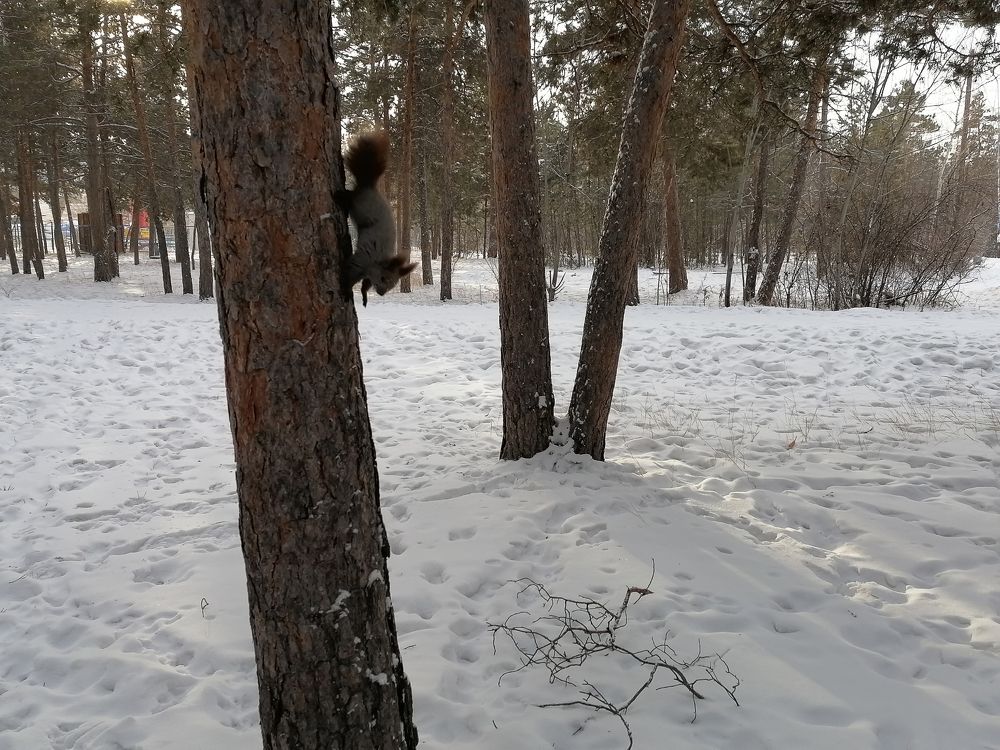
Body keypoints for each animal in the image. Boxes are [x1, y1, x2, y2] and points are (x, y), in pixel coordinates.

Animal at [335, 131, 416, 306]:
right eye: (383, 278)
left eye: (393, 285)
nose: (381, 293)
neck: (375, 264)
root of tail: (369, 186)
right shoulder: (361, 262)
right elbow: (349, 276)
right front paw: (346, 291)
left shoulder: (367, 274)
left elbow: (365, 285)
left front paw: (364, 296)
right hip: (360, 204)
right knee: (351, 196)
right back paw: (341, 196)